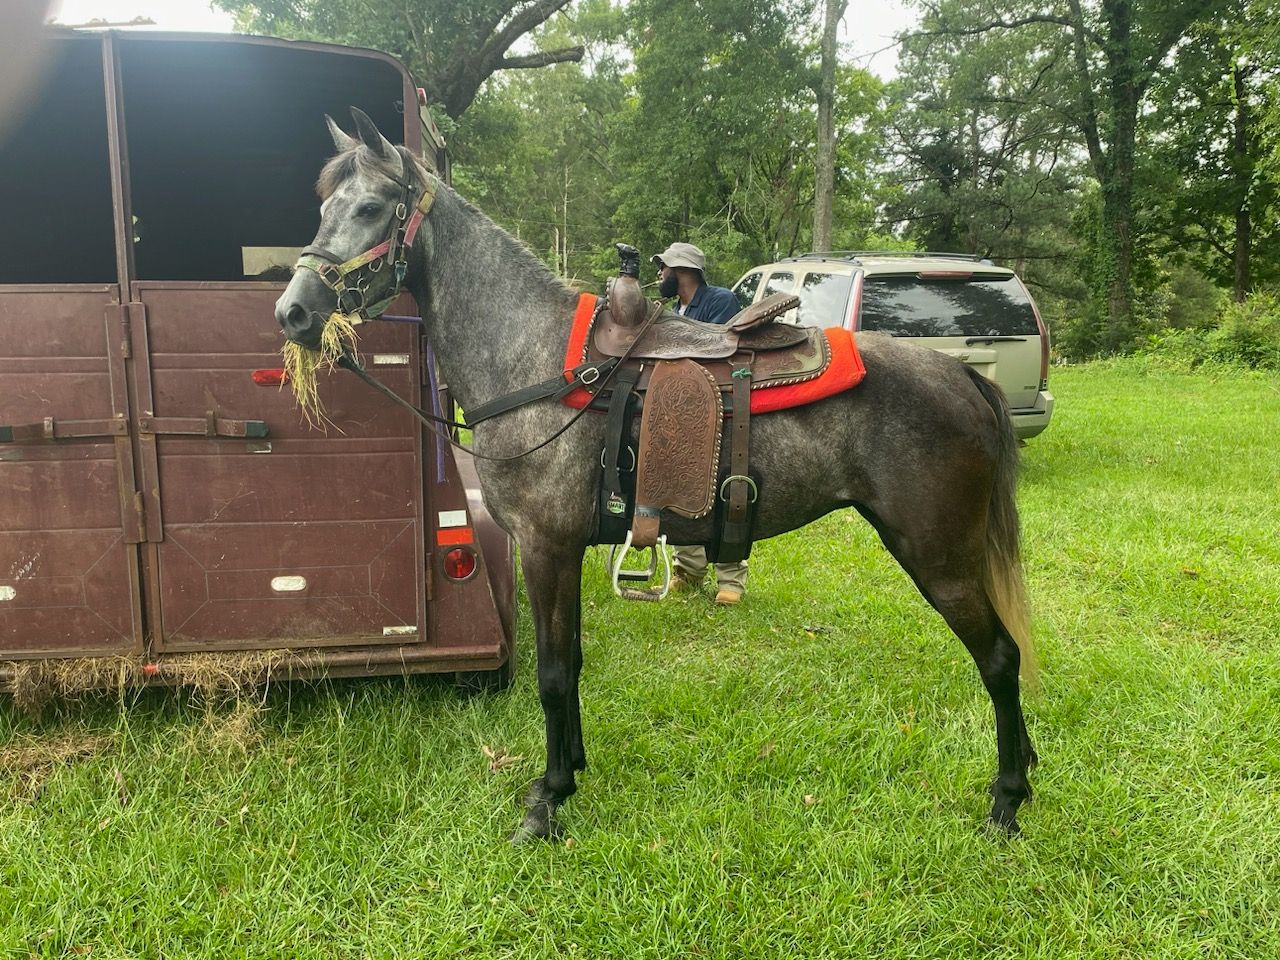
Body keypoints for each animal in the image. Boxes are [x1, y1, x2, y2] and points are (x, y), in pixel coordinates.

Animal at [275, 110, 1038, 841]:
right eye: (322, 206)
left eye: (371, 207)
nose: (293, 311)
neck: (534, 358)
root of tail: (962, 375)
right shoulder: (561, 553)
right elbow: (574, 661)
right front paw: (571, 769)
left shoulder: (546, 547)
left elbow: (553, 674)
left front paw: (547, 800)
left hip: (937, 555)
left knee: (1001, 659)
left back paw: (1007, 801)